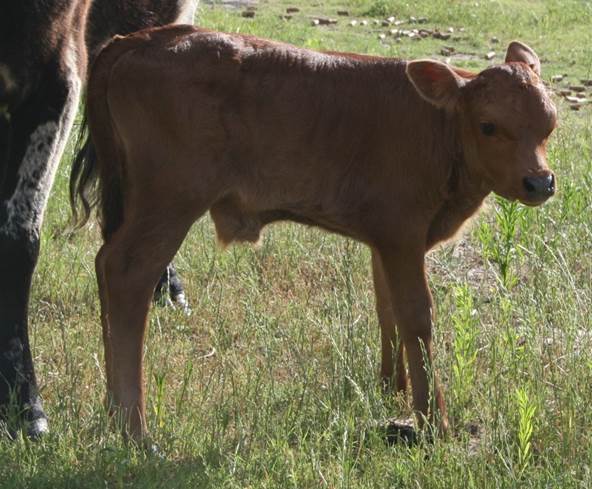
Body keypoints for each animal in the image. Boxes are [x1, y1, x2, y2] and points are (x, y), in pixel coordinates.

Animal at [71, 24, 556, 440]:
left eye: (549, 124)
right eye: (488, 125)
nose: (540, 183)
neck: (437, 127)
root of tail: (145, 38)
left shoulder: (385, 240)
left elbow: (388, 310)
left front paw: (391, 390)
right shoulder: (403, 234)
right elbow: (417, 317)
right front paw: (433, 422)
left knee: (105, 265)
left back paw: (114, 414)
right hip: (170, 201)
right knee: (127, 273)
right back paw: (134, 430)